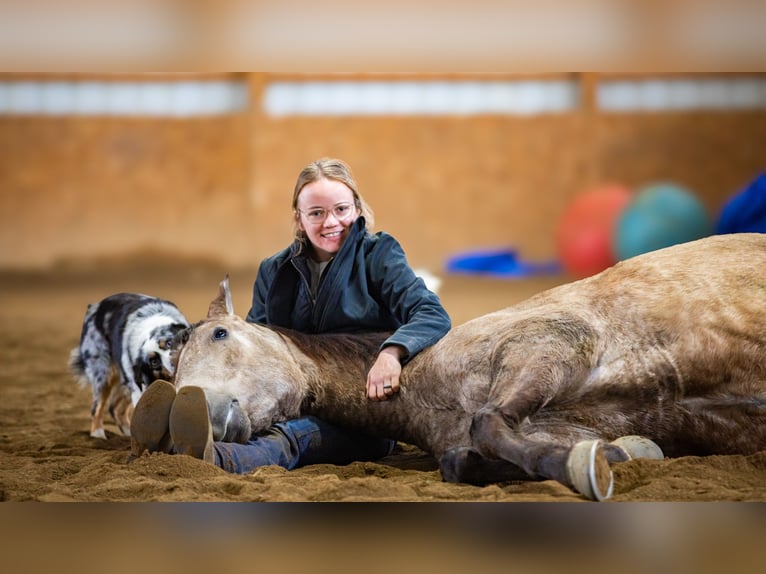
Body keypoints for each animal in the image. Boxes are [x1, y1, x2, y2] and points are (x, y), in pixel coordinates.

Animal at [172, 232, 766, 502]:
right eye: (173, 371)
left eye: (221, 334)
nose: (195, 411)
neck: (419, 378)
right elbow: (463, 459)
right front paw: (618, 455)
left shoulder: (549, 346)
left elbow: (487, 423)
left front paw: (586, 470)